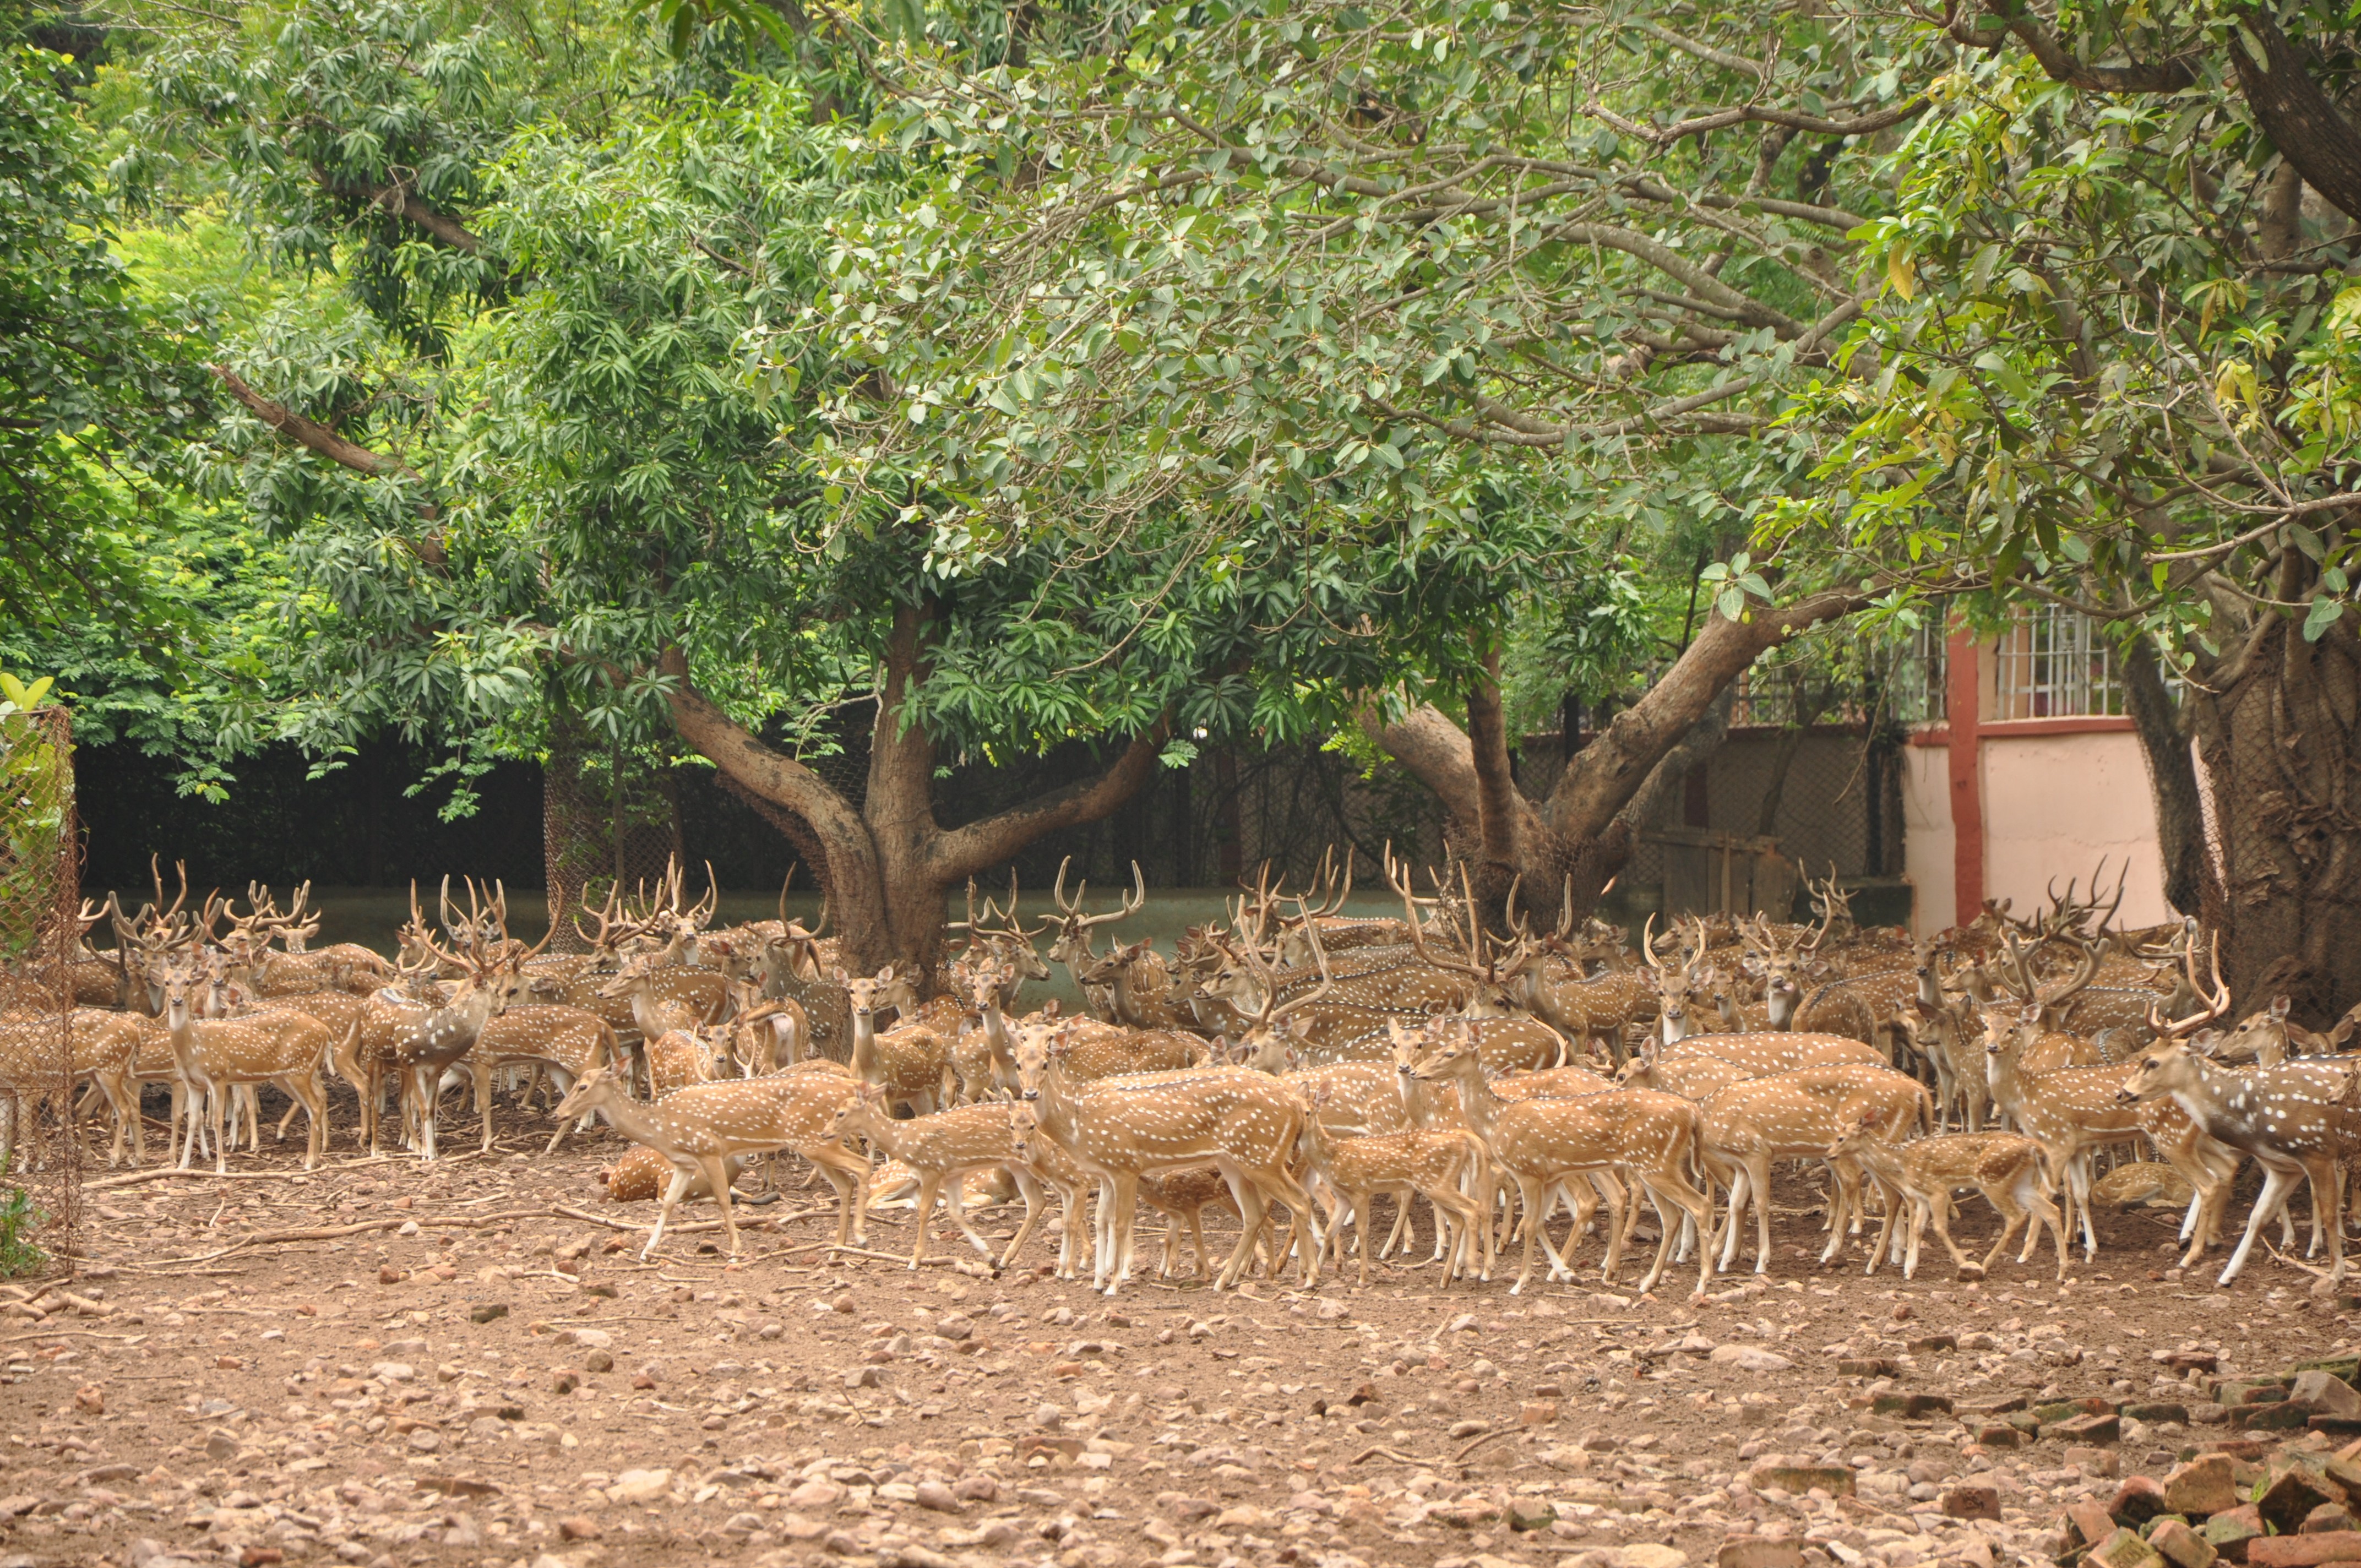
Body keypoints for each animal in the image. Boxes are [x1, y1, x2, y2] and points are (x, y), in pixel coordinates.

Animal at [1823, 1107, 2067, 1280]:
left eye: (1840, 1138)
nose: (1828, 1153)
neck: (1903, 1163)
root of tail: (2035, 1148)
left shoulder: (1937, 1189)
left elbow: (1939, 1228)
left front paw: (1962, 1263)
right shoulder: (1921, 1196)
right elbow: (1918, 1228)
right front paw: (1909, 1270)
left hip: (1994, 1180)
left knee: (2016, 1217)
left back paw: (1984, 1266)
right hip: (2021, 1184)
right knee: (2052, 1210)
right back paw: (2062, 1271)